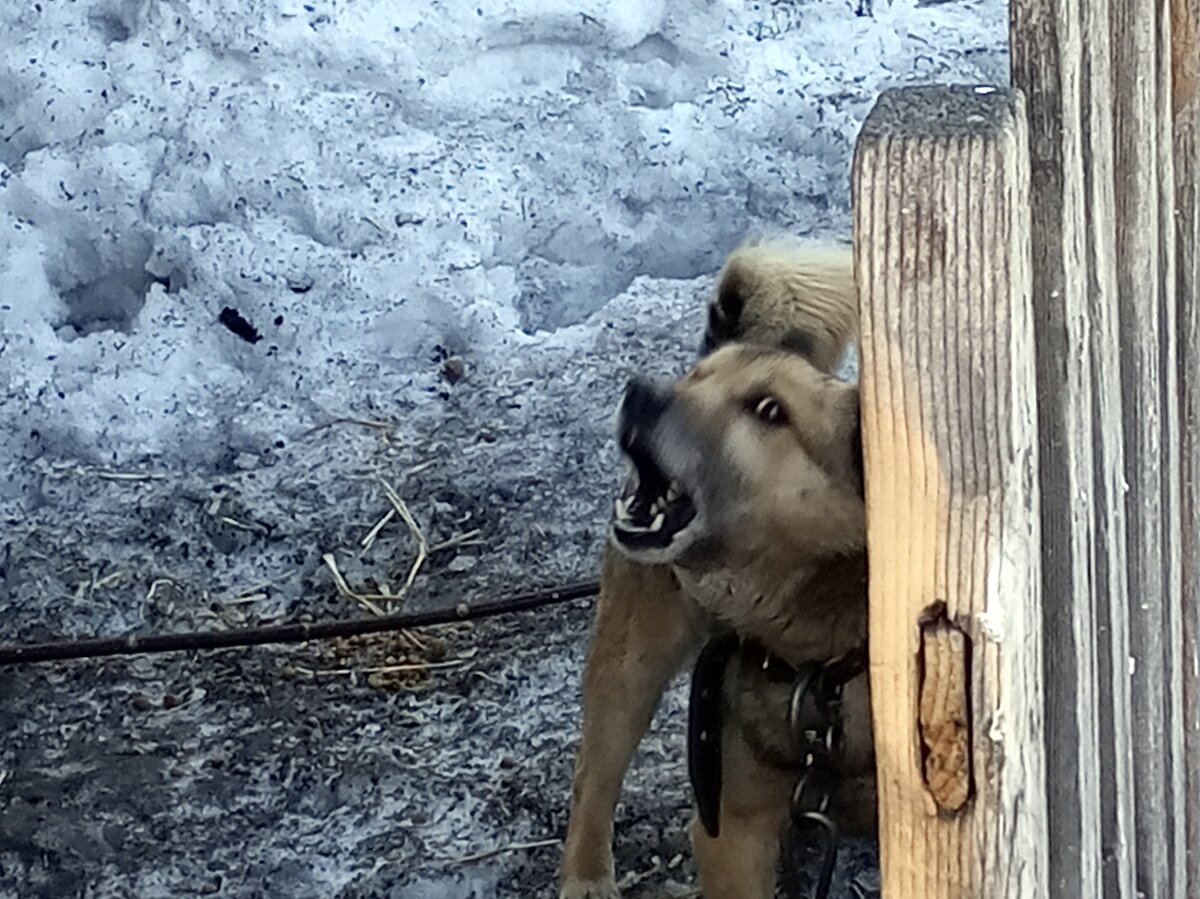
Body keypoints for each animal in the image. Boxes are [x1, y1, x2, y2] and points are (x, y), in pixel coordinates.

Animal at [556, 238, 878, 897]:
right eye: (697, 381)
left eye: (769, 410)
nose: (641, 394)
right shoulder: (728, 826)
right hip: (632, 657)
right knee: (594, 770)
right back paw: (587, 875)